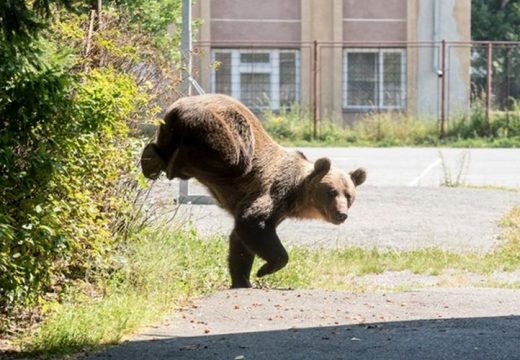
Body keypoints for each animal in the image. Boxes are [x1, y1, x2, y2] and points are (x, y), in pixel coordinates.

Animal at [139, 94, 366, 288]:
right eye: (331, 192)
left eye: (349, 196)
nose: (341, 214)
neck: (297, 195)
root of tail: (179, 108)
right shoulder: (275, 191)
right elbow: (252, 222)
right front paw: (264, 270)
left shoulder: (279, 211)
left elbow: (240, 241)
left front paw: (242, 279)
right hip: (223, 130)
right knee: (233, 157)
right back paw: (171, 163)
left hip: (167, 127)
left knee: (162, 147)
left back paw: (151, 159)